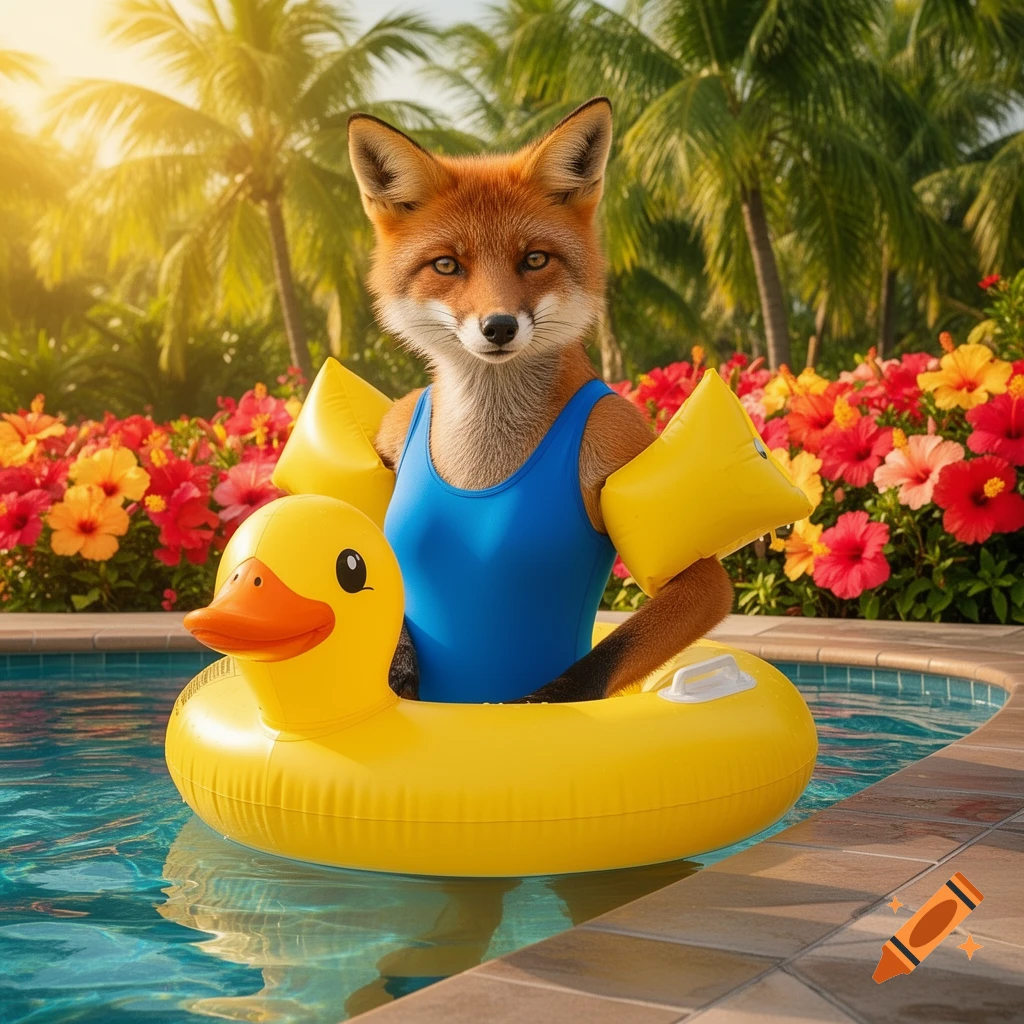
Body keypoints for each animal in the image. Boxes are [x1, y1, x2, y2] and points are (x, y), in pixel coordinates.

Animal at [347, 97, 734, 704]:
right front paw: (399, 667)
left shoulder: (622, 436)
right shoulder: (395, 421)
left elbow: (607, 655)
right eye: (446, 265)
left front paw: (540, 703)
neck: (486, 456)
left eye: (533, 260)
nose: (499, 327)